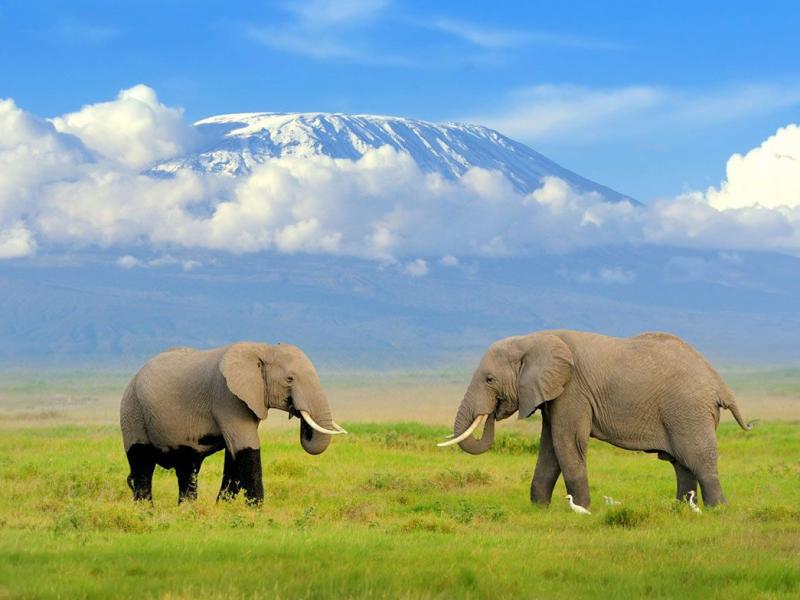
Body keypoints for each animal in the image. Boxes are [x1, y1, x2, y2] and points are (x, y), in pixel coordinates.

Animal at [120, 340, 346, 504]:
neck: (263, 348)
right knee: (141, 464)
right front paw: (255, 512)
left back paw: (187, 512)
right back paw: (146, 513)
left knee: (187, 468)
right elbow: (246, 448)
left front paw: (223, 507)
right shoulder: (228, 397)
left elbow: (234, 455)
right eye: (290, 379)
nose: (298, 414)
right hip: (132, 411)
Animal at [440, 330, 752, 508]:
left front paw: (581, 509)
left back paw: (717, 510)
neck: (533, 339)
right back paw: (680, 508)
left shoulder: (573, 390)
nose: (494, 410)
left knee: (698, 459)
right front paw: (539, 509)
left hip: (688, 411)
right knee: (681, 464)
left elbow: (567, 443)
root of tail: (719, 382)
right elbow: (550, 447)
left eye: (489, 380)